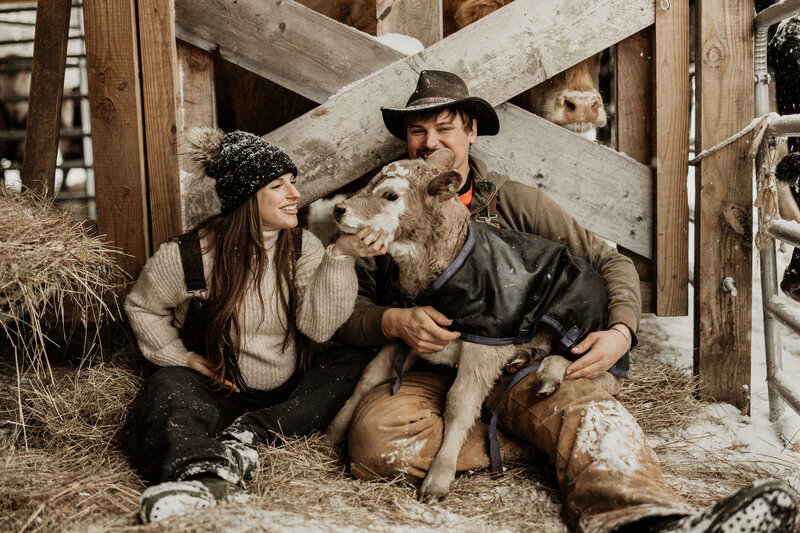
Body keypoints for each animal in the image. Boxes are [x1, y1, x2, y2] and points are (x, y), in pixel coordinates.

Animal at [324, 148, 624, 500]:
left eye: (390, 195)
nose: (339, 208)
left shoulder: (484, 345)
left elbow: (460, 403)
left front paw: (438, 479)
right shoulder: (405, 328)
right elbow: (369, 376)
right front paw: (330, 434)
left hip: (581, 325)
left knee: (602, 374)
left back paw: (549, 375)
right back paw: (523, 359)